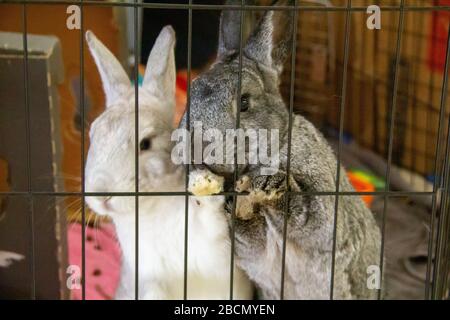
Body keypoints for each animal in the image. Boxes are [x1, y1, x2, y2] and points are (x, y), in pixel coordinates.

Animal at [84, 25, 253, 300]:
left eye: (145, 143)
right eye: (92, 135)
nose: (101, 196)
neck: (150, 210)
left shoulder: (215, 252)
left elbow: (212, 229)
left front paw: (208, 197)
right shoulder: (145, 274)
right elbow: (154, 289)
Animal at [179, 0, 380, 300]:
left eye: (244, 102)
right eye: (189, 95)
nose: (196, 147)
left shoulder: (324, 214)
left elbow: (307, 211)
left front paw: (271, 185)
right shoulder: (252, 244)